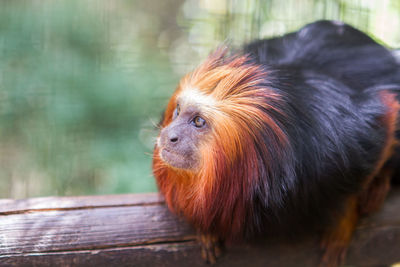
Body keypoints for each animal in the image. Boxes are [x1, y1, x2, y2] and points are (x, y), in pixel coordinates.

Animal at [152, 21, 398, 267]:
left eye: (198, 122)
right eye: (177, 111)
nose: (169, 135)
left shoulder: (346, 141)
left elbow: (387, 117)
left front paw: (344, 220)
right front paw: (206, 229)